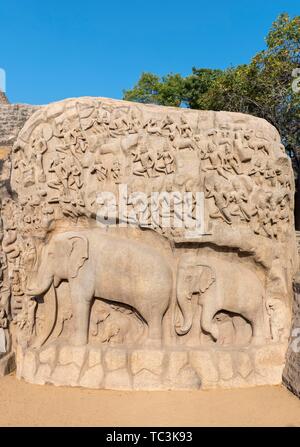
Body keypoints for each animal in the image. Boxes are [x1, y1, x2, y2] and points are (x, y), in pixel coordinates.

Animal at [26, 231, 173, 346]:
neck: (78, 235)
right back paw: (140, 342)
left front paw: (74, 343)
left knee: (152, 316)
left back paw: (149, 345)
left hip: (151, 292)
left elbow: (80, 298)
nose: (33, 347)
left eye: (51, 254)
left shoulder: (84, 270)